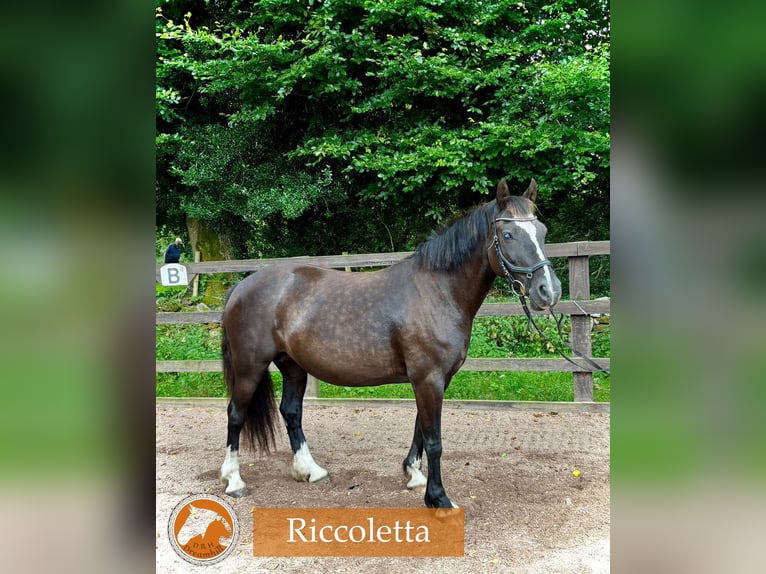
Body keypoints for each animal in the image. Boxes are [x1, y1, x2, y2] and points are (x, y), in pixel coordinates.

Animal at [219, 178, 562, 508]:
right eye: (508, 234)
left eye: (542, 231)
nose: (549, 291)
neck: (436, 291)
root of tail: (241, 287)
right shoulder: (428, 378)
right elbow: (434, 440)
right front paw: (438, 498)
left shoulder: (436, 379)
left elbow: (420, 430)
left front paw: (414, 475)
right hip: (250, 367)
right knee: (235, 413)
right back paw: (234, 480)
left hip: (292, 366)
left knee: (291, 411)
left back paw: (310, 470)